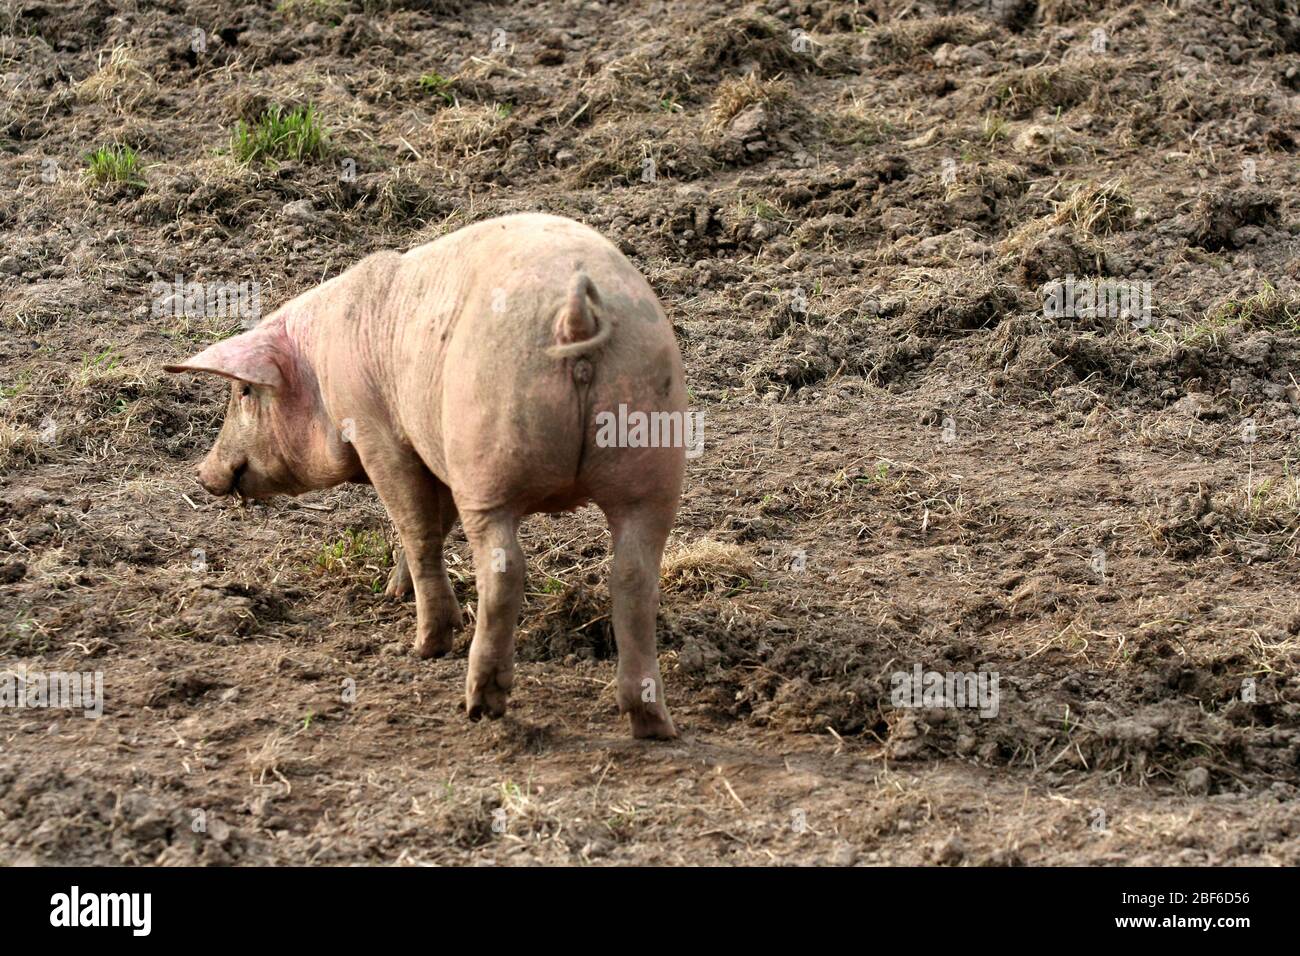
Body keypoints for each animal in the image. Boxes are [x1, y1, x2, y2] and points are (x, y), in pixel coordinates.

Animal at [167, 214, 686, 738]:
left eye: (244, 393)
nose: (201, 475)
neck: (322, 371)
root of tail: (576, 306)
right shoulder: (437, 452)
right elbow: (435, 522)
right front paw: (394, 593)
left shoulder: (379, 433)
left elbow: (415, 526)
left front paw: (421, 638)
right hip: (651, 454)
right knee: (634, 575)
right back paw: (652, 724)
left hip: (488, 456)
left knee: (504, 570)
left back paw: (472, 695)